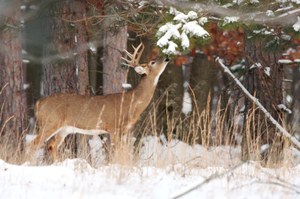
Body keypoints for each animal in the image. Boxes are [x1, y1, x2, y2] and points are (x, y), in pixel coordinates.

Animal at [27, 43, 169, 162]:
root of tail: (39, 102)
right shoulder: (114, 127)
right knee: (33, 144)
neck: (131, 102)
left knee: (52, 145)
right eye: (153, 62)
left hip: (64, 128)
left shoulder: (124, 130)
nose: (167, 57)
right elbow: (117, 150)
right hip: (50, 122)